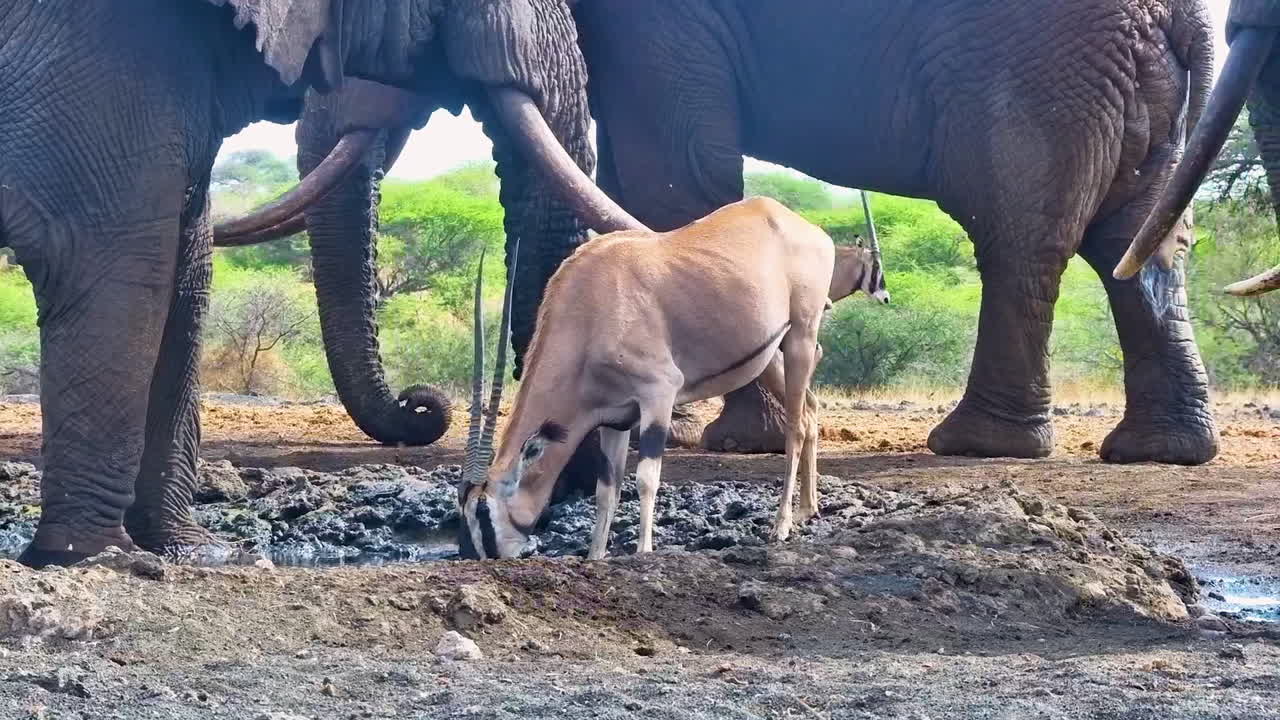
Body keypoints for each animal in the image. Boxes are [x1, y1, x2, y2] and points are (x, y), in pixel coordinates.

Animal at [569, 0, 1221, 465]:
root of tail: (1185, 16)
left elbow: (672, 174)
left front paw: (738, 443)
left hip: (1043, 64)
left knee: (1018, 231)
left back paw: (979, 445)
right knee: (1138, 240)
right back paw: (1162, 451)